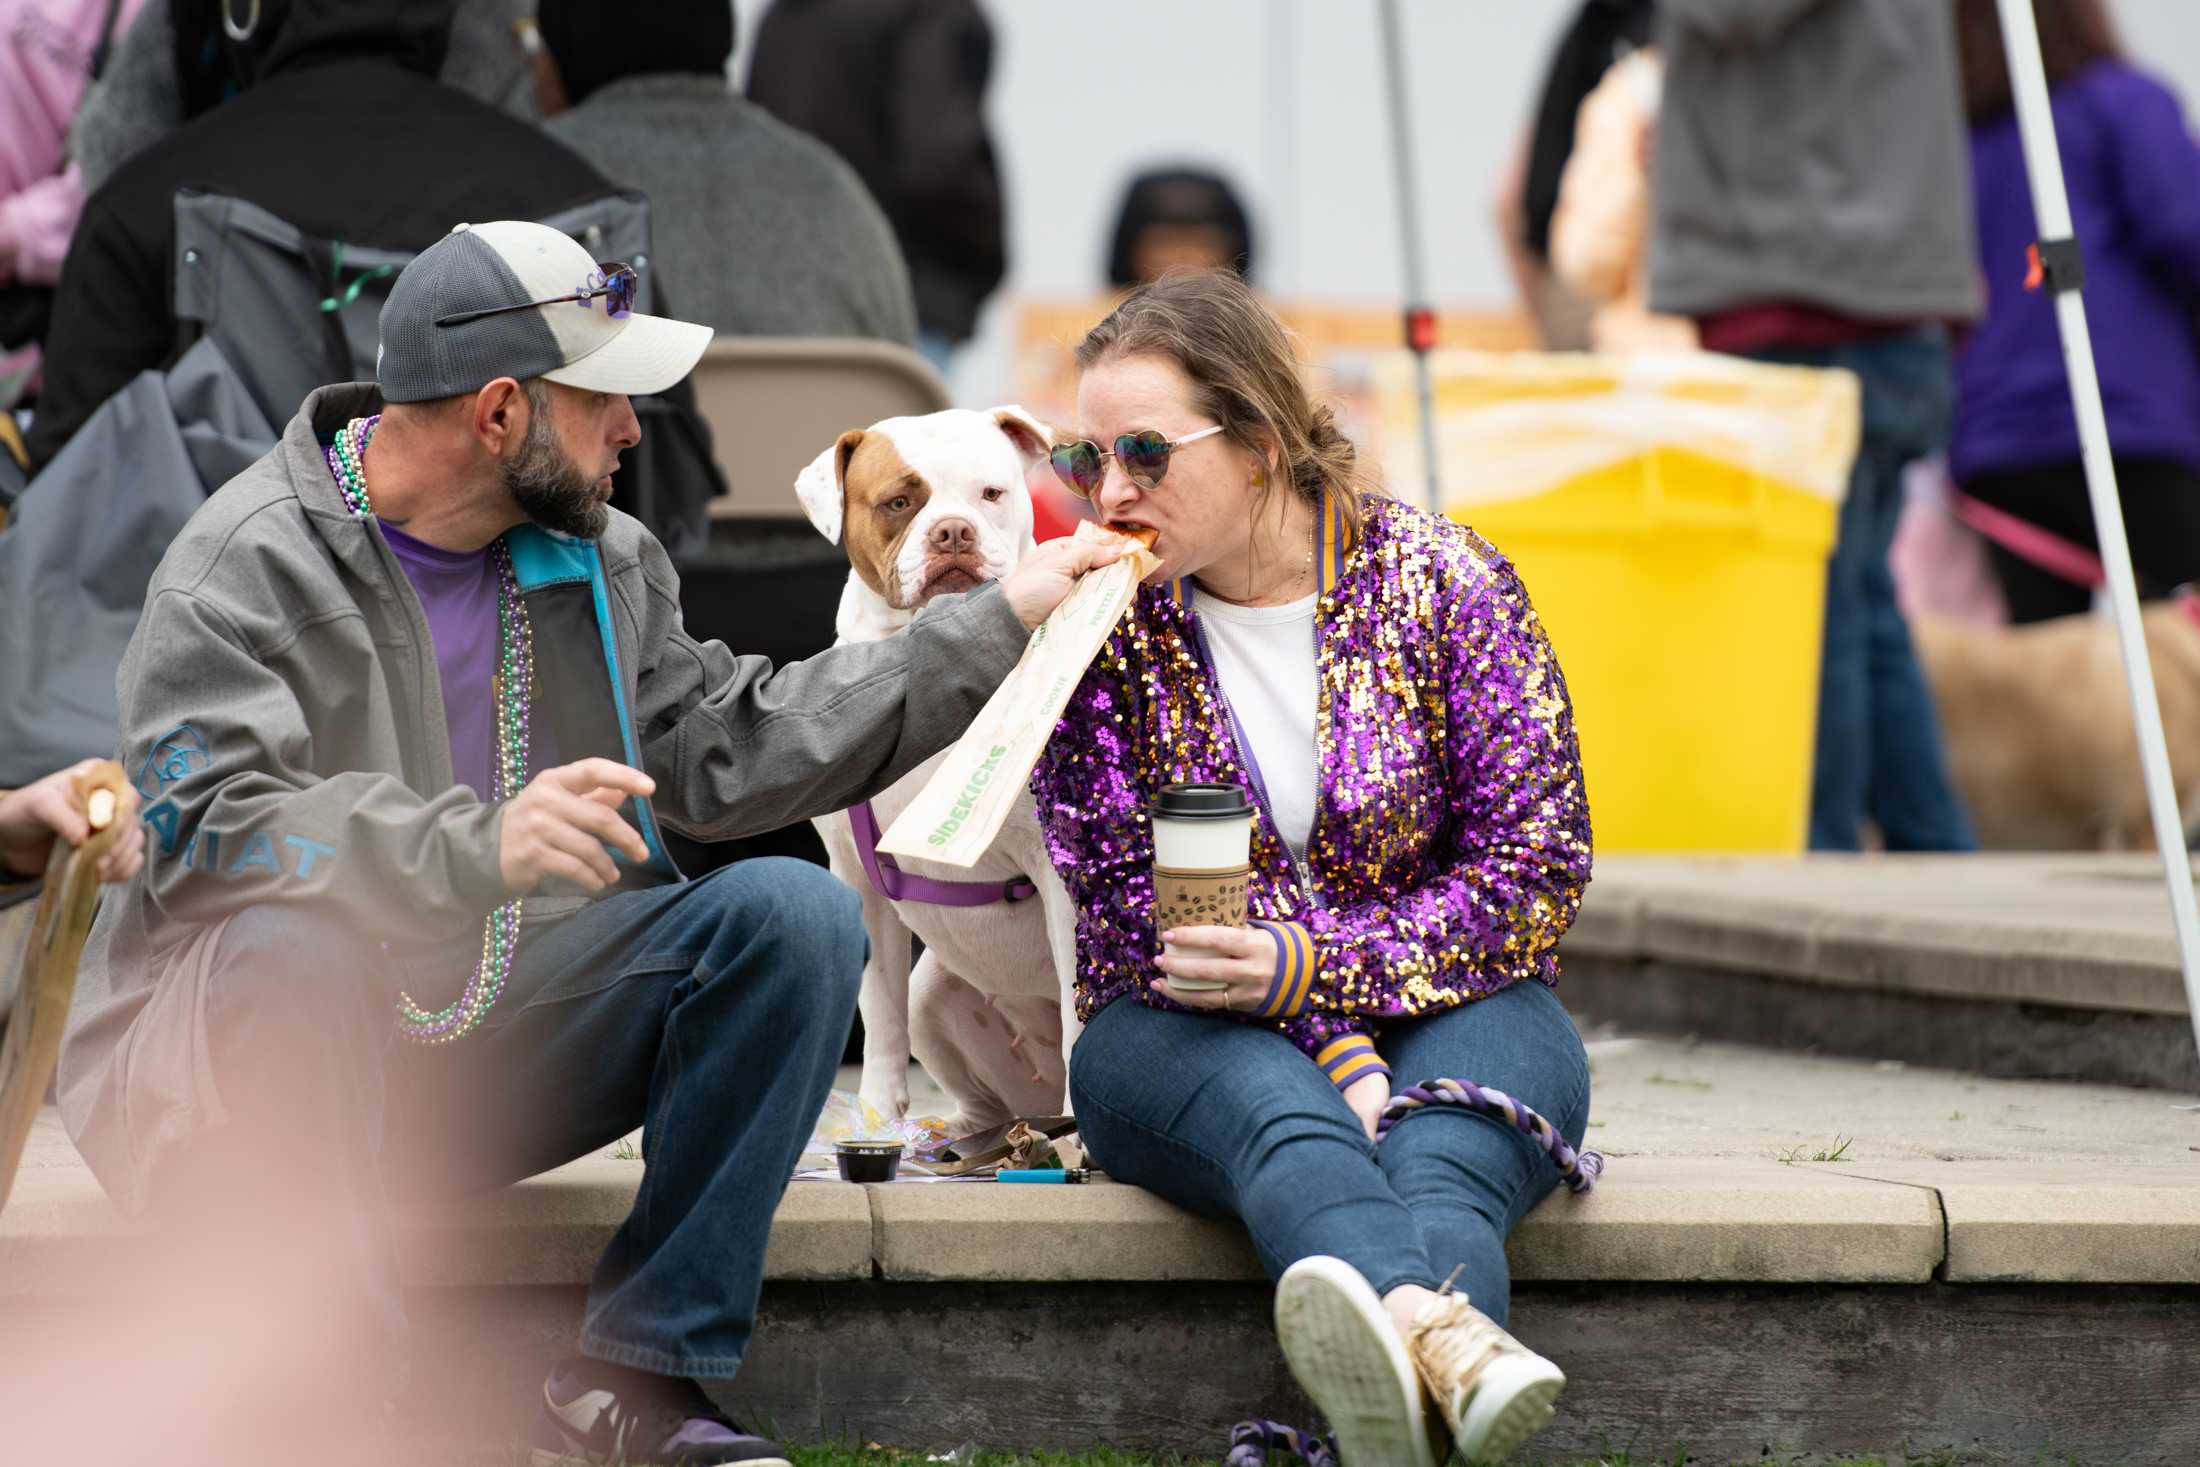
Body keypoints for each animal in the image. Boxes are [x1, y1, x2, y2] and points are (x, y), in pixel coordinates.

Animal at [805, 406, 1086, 1134]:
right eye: (898, 503)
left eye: (992, 493)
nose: (953, 530)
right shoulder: (861, 882)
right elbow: (878, 1010)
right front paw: (877, 1119)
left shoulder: (1060, 875)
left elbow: (1083, 1007)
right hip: (933, 996)